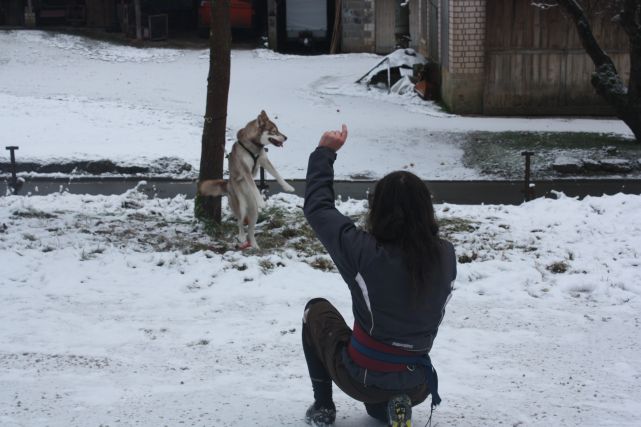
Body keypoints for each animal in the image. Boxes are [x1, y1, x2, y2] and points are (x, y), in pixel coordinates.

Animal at [198, 111, 296, 251]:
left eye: (278, 130)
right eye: (274, 131)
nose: (286, 137)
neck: (254, 145)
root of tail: (228, 184)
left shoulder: (264, 161)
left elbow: (277, 174)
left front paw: (287, 187)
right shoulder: (245, 171)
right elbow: (254, 186)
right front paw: (261, 201)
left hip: (254, 213)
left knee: (250, 229)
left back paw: (254, 245)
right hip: (240, 206)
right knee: (240, 222)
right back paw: (242, 237)